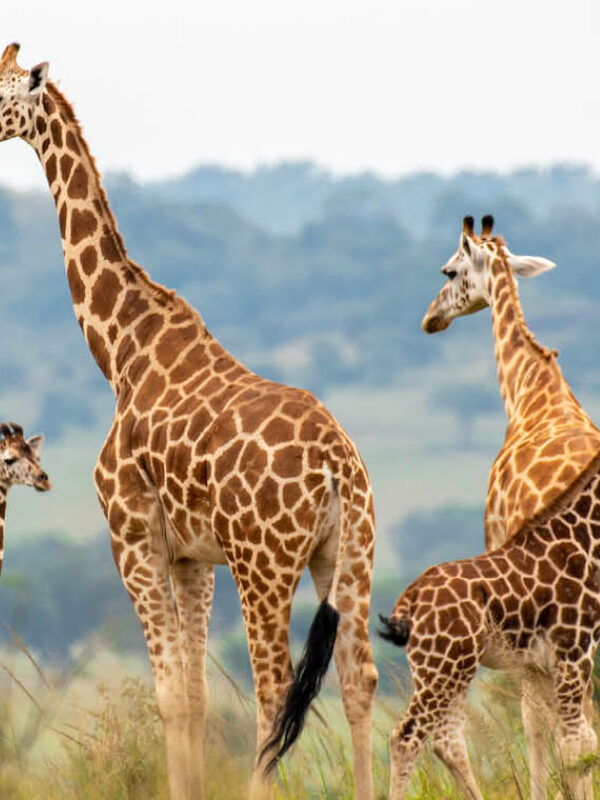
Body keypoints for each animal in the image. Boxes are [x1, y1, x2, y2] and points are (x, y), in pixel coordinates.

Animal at [379, 448, 600, 800]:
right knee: (406, 738)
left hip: (453, 669)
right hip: (441, 670)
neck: (585, 538)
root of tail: (409, 600)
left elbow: (571, 739)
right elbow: (573, 745)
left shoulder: (543, 665)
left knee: (448, 741)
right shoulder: (573, 652)